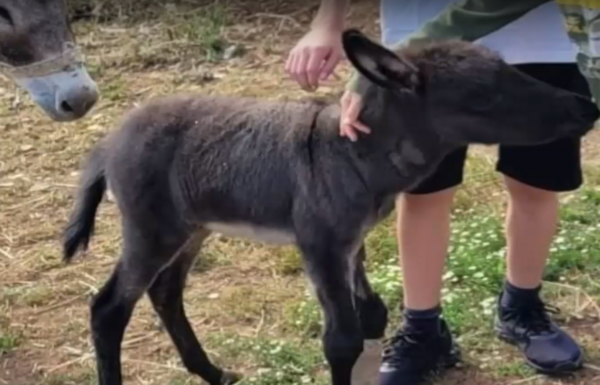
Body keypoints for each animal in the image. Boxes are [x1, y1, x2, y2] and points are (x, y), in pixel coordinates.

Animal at [63, 29, 596, 384]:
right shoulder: (319, 244)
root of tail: (109, 141)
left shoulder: (351, 242)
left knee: (165, 293)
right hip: (152, 227)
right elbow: (341, 341)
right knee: (109, 309)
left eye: (513, 70)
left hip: (191, 226)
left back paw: (214, 373)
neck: (352, 152)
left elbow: (373, 315)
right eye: (483, 96)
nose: (587, 109)